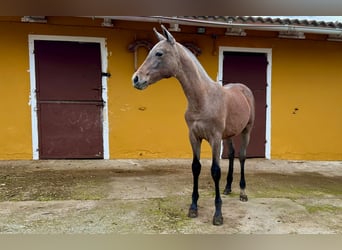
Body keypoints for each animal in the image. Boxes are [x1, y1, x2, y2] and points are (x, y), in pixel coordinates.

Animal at [132, 24, 255, 226]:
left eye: (159, 53)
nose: (136, 79)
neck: (203, 98)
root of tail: (243, 89)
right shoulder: (194, 136)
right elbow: (196, 168)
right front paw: (193, 208)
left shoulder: (214, 138)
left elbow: (215, 170)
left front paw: (218, 214)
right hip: (228, 135)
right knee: (231, 154)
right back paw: (228, 188)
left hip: (246, 131)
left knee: (242, 157)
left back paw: (243, 192)